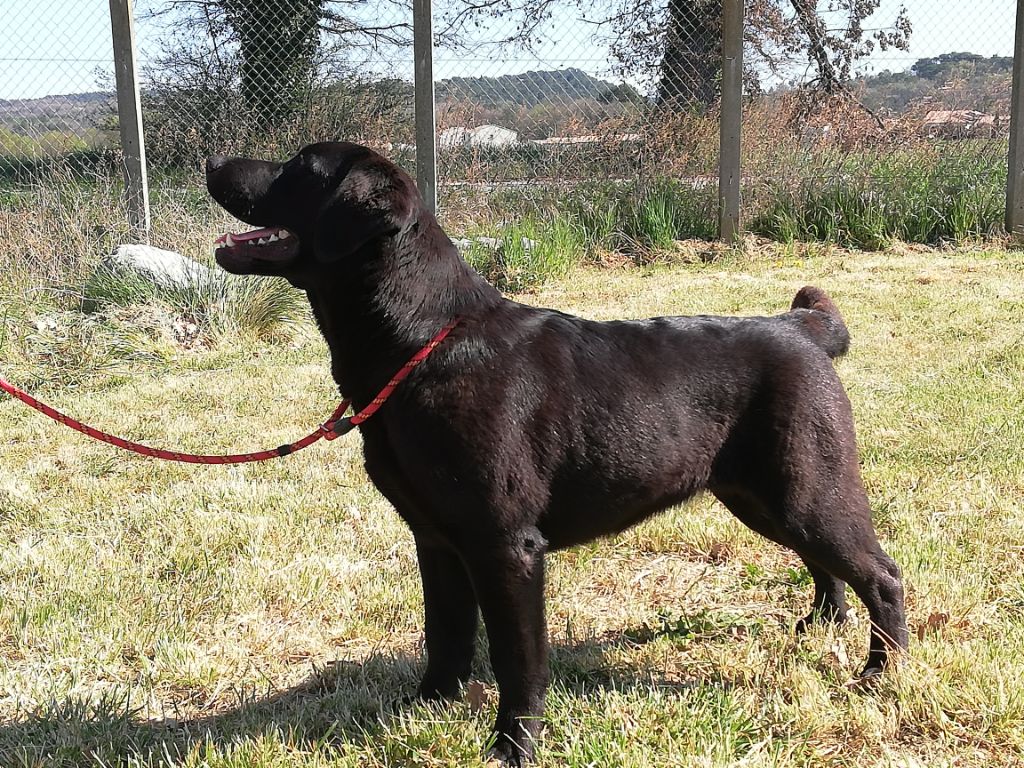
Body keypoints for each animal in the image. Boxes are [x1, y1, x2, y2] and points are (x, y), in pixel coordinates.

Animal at [203, 143, 909, 765]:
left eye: (301, 167)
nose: (211, 161)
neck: (422, 342)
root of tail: (801, 329)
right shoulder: (436, 539)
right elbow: (446, 635)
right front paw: (422, 710)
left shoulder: (505, 545)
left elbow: (517, 661)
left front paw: (512, 747)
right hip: (763, 496)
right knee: (827, 565)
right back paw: (821, 626)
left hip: (807, 489)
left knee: (881, 574)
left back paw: (882, 674)